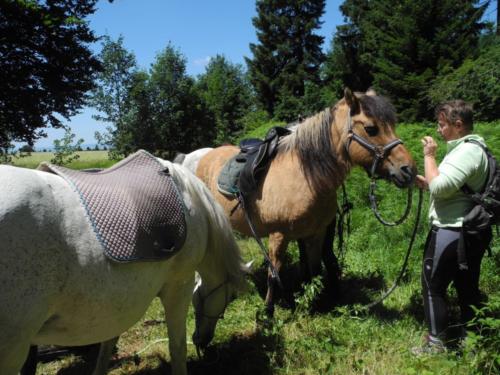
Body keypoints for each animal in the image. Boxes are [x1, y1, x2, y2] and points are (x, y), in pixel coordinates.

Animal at [0, 158, 249, 375]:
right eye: (232, 297)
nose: (202, 341)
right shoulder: (179, 286)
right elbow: (177, 348)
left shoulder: (119, 304)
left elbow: (107, 345)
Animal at [193, 89, 416, 316]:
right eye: (371, 128)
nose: (409, 170)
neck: (306, 176)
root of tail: (205, 155)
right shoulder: (278, 235)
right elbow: (274, 273)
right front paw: (267, 313)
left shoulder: (316, 234)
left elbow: (315, 268)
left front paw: (314, 303)